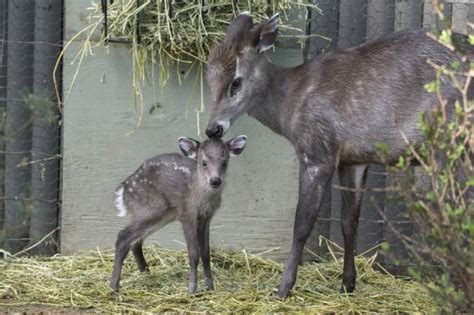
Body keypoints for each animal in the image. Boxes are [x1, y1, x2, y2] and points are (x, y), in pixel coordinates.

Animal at [205, 12, 470, 298]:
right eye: (210, 80)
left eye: (236, 82)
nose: (212, 129)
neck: (290, 103)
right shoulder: (353, 160)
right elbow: (348, 222)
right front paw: (347, 284)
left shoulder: (317, 152)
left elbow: (302, 225)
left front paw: (283, 288)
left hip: (453, 144)